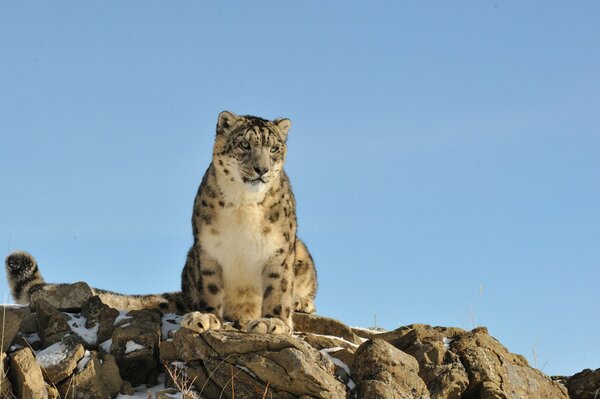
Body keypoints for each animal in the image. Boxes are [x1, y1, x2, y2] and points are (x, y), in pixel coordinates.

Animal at [4, 111, 318, 336]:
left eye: (274, 148)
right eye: (244, 144)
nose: (261, 169)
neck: (244, 203)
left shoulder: (279, 249)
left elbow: (278, 288)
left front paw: (273, 322)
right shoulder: (208, 249)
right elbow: (210, 288)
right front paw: (206, 317)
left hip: (300, 252)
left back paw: (300, 302)